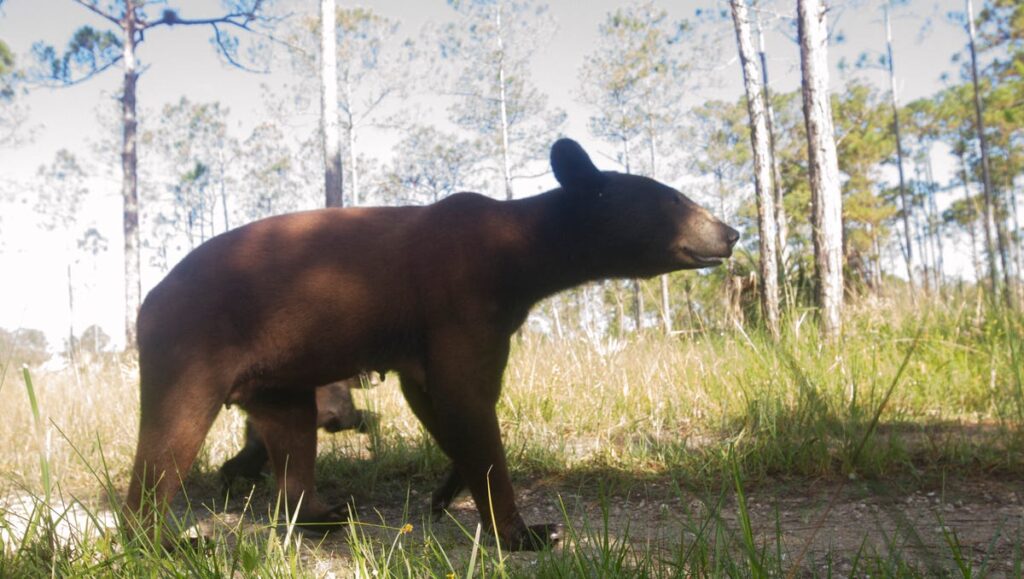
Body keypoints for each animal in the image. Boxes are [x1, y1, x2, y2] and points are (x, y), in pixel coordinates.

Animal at [125, 138, 738, 551]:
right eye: (679, 200)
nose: (731, 231)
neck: (519, 252)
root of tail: (146, 299)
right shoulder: (458, 299)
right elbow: (468, 400)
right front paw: (525, 530)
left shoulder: (444, 333)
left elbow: (438, 405)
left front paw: (447, 493)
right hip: (190, 348)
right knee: (168, 443)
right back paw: (170, 541)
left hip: (280, 376)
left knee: (291, 439)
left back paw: (325, 512)